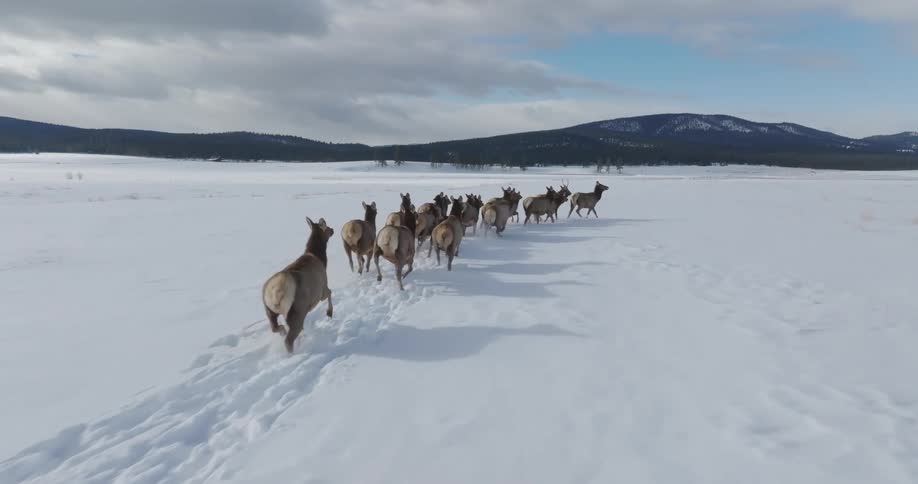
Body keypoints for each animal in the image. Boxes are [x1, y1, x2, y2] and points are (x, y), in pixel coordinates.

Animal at [261, 217, 334, 353]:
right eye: (326, 226)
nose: (333, 230)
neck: (320, 258)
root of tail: (275, 293)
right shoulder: (321, 290)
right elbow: (330, 292)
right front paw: (329, 313)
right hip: (297, 312)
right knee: (289, 340)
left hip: (269, 310)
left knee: (275, 328)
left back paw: (284, 332)